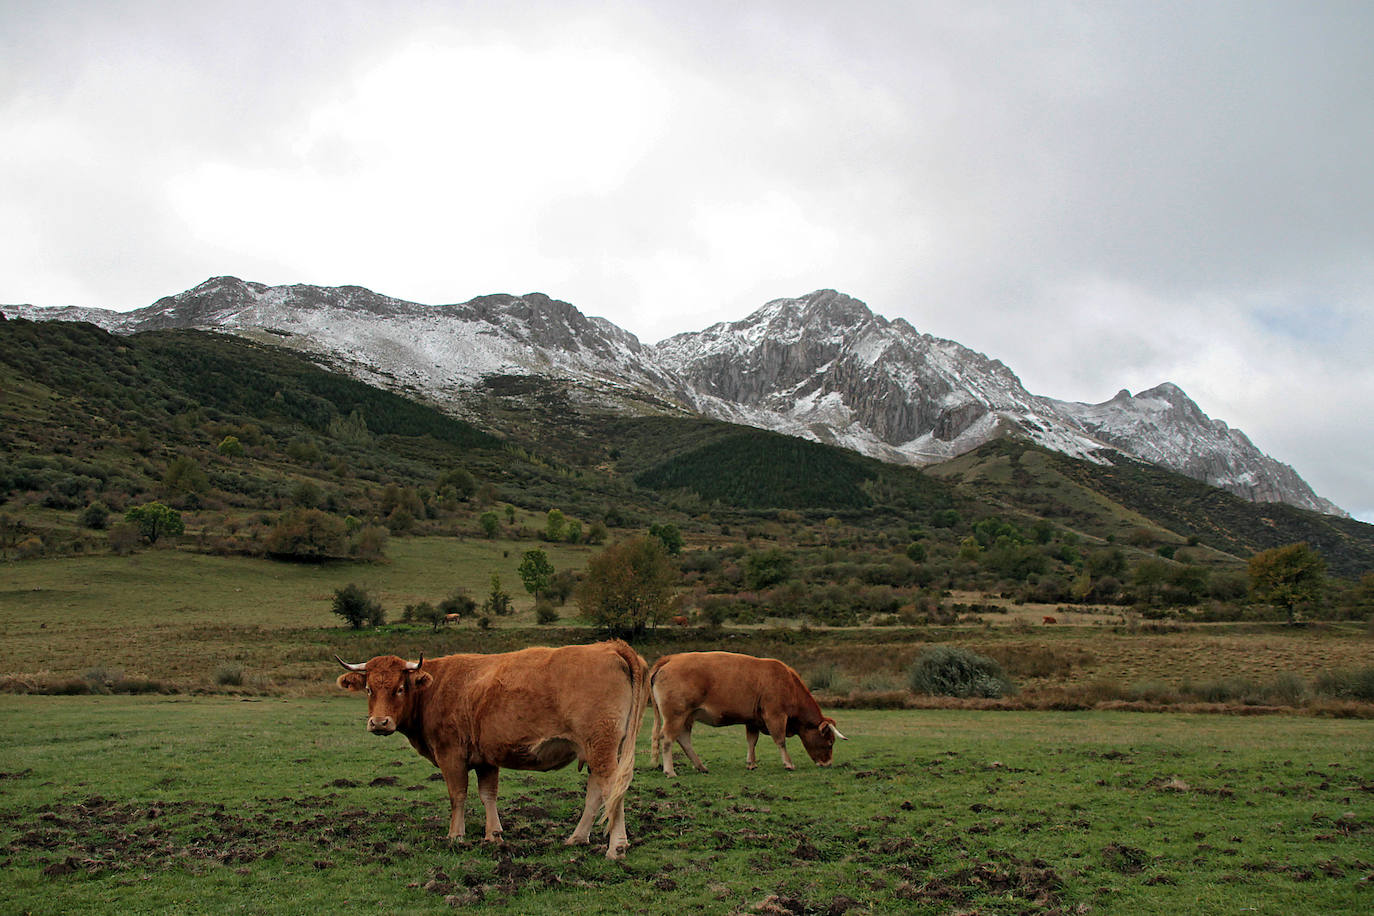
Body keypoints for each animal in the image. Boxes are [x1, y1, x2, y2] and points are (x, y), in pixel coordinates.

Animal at [336, 637, 648, 862]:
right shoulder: (486, 757)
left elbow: (457, 795)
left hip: (601, 746)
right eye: (369, 689)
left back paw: (616, 848)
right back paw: (577, 838)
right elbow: (488, 795)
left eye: (400, 688)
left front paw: (455, 836)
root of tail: (610, 646)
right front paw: (494, 835)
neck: (436, 688)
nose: (379, 722)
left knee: (610, 790)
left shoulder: (451, 754)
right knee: (596, 792)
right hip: (599, 749)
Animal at [648, 648, 840, 780]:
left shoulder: (753, 720)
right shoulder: (775, 715)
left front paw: (751, 763)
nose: (828, 764)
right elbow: (780, 740)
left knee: (683, 739)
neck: (788, 684)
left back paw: (700, 766)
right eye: (830, 742)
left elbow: (751, 741)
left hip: (687, 716)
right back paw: (670, 771)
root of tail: (671, 658)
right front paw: (788, 763)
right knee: (667, 738)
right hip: (676, 715)